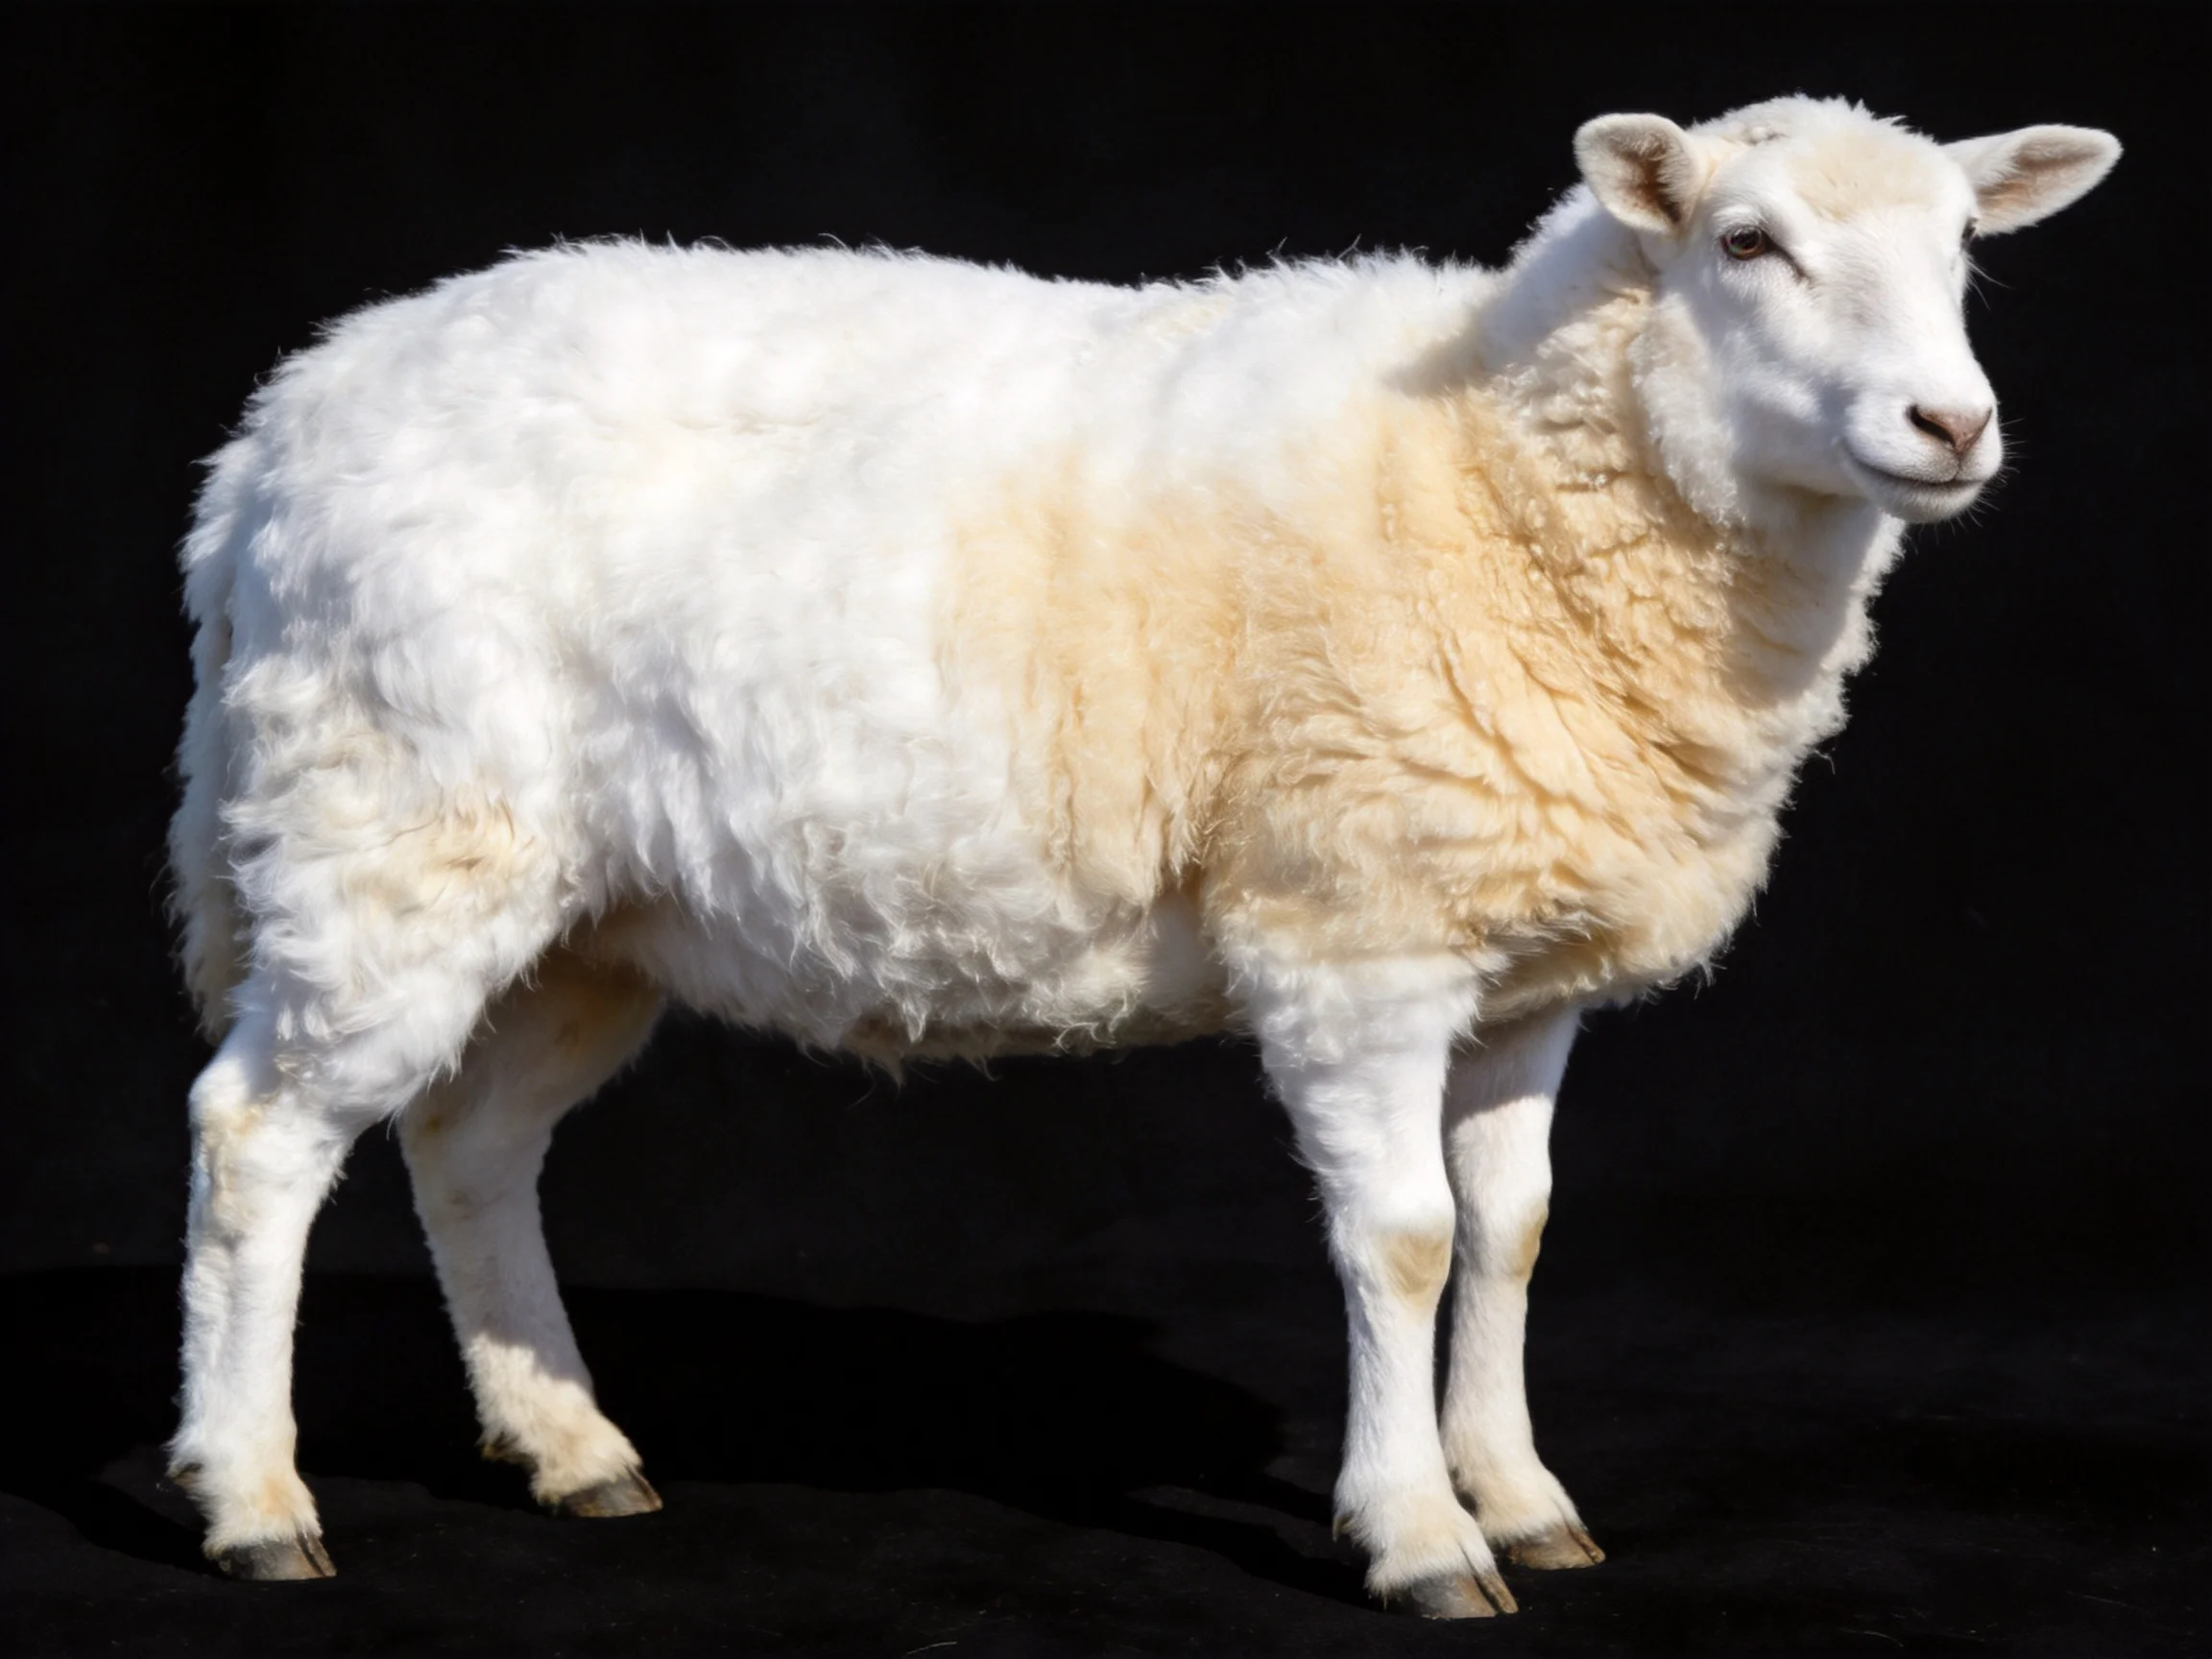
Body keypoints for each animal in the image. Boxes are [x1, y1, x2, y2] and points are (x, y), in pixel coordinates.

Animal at [164, 95, 2118, 1614]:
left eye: (1964, 246)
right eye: (1743, 242)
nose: (1952, 427)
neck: (1498, 475)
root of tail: (274, 434)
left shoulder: (1520, 959)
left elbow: (1511, 1235)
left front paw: (1517, 1494)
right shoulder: (1356, 928)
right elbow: (1404, 1240)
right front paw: (1416, 1533)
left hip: (582, 908)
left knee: (469, 1146)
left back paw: (569, 1444)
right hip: (387, 820)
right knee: (259, 1141)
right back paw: (254, 1497)